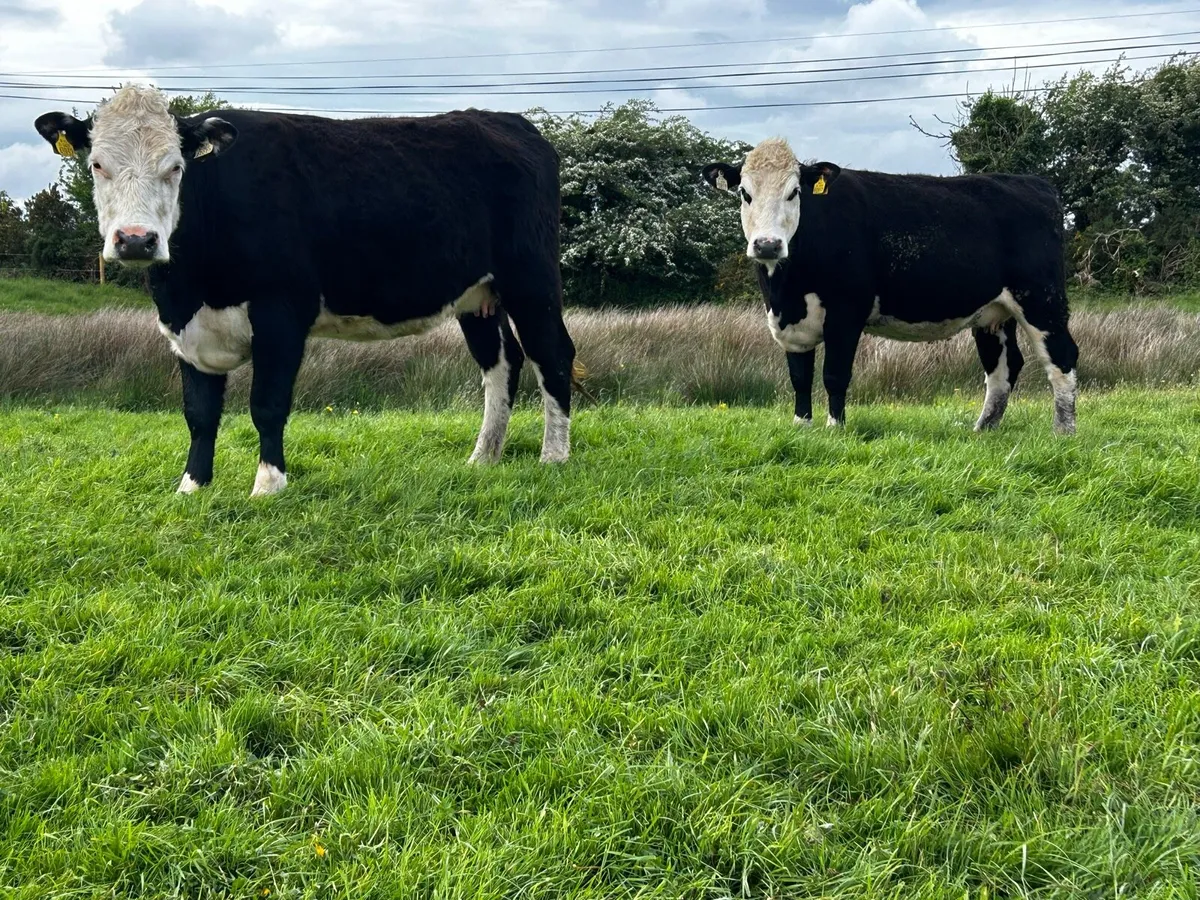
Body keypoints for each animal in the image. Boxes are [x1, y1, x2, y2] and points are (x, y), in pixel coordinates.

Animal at [34, 83, 576, 497]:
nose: (136, 239)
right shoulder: (186, 327)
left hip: (532, 279)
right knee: (501, 364)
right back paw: (483, 458)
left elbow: (267, 404)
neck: (192, 286)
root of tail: (507, 121)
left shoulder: (282, 312)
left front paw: (268, 486)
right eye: (97, 164)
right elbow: (199, 412)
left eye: (175, 167)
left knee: (552, 353)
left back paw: (554, 456)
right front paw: (192, 488)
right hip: (476, 296)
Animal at [702, 138, 1079, 434]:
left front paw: (834, 428)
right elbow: (800, 377)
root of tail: (1034, 183)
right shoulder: (790, 323)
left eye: (794, 193)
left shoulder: (846, 313)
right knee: (1003, 366)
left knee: (1062, 357)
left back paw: (1063, 432)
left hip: (1042, 300)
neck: (786, 290)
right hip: (993, 313)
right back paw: (983, 429)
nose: (767, 245)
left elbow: (834, 374)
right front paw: (802, 426)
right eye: (744, 193)